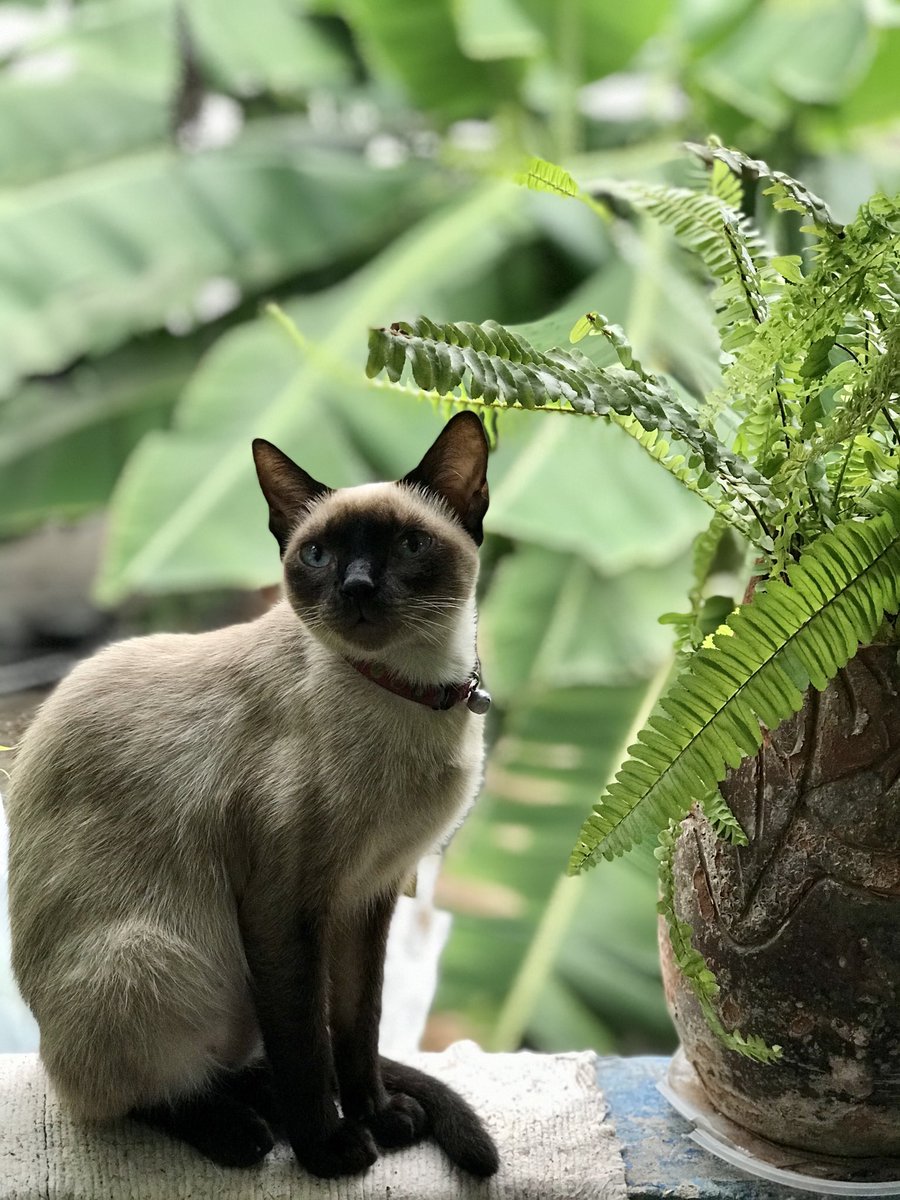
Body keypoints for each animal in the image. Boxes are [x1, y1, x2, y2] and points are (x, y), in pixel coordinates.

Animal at [5, 412, 501, 1180]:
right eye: (319, 555)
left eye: (410, 545)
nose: (357, 587)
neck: (411, 692)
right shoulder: (286, 904)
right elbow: (307, 1048)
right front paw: (331, 1152)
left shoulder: (369, 895)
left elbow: (355, 1032)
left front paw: (379, 1117)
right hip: (148, 958)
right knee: (137, 1095)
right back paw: (243, 1134)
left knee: (236, 1067)